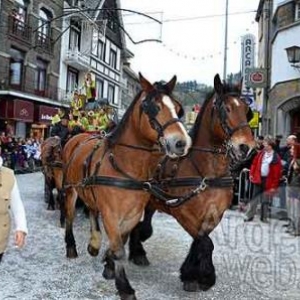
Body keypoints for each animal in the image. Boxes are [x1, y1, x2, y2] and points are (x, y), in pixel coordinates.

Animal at [62, 73, 192, 300]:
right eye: (151, 107)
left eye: (178, 108)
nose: (181, 143)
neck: (125, 166)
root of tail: (79, 136)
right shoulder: (111, 214)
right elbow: (120, 250)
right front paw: (124, 286)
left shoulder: (132, 215)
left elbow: (120, 243)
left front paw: (108, 264)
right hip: (71, 190)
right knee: (69, 215)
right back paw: (71, 246)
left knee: (92, 210)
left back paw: (94, 243)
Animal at [127, 74, 256, 292]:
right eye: (225, 109)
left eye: (247, 110)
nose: (247, 147)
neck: (207, 173)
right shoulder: (184, 212)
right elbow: (205, 242)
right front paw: (199, 276)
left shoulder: (214, 214)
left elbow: (201, 241)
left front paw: (195, 274)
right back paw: (137, 250)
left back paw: (138, 248)